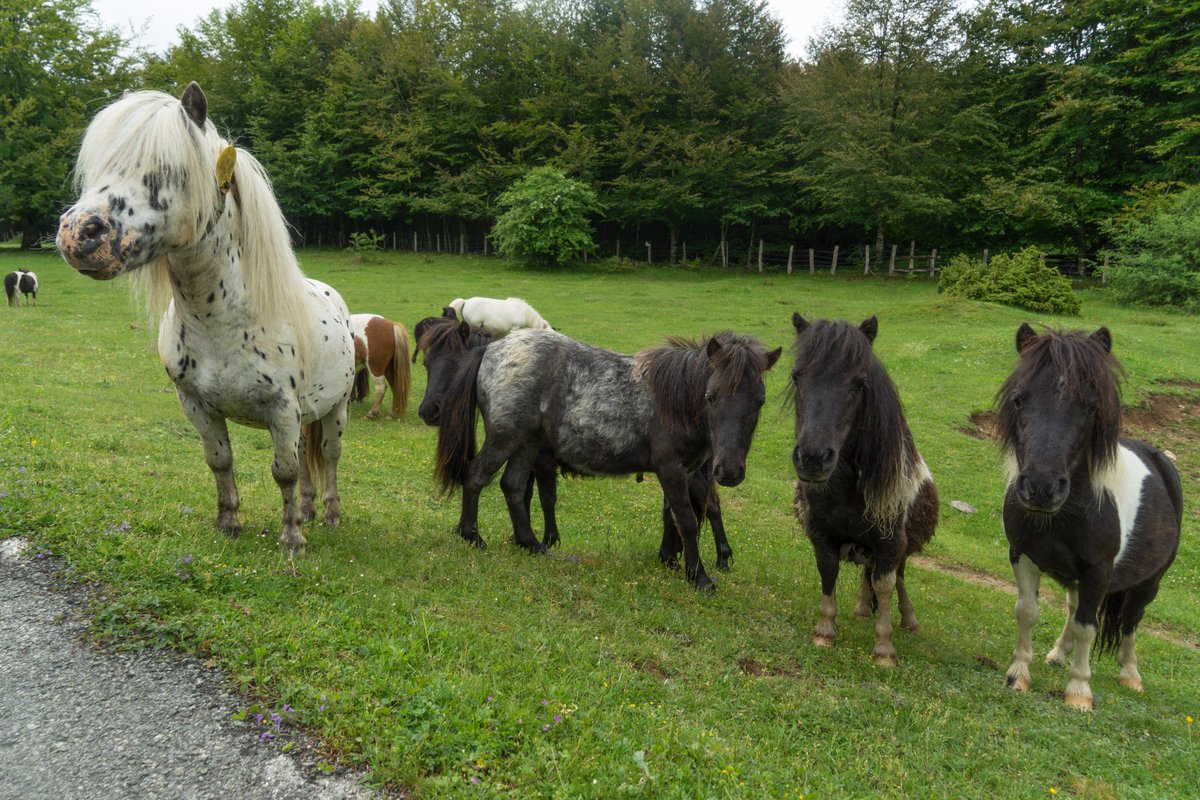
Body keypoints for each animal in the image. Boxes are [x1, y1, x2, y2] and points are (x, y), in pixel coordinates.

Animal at [56, 83, 356, 552]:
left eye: (168, 170)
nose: (79, 233)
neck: (221, 324)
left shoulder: (282, 410)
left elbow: (284, 471)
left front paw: (292, 538)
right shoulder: (196, 404)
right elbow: (220, 461)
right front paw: (228, 523)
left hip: (336, 409)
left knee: (327, 456)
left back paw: (328, 515)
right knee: (309, 463)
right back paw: (308, 510)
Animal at [433, 327, 780, 591]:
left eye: (760, 401)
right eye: (711, 396)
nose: (730, 471)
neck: (674, 401)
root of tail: (492, 348)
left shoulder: (688, 471)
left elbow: (672, 516)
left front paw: (670, 559)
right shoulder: (671, 469)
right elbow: (687, 520)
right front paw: (699, 577)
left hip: (527, 442)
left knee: (513, 486)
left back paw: (531, 543)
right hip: (505, 438)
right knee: (476, 476)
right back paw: (471, 535)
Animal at [789, 314, 938, 666]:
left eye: (859, 384)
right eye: (796, 377)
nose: (813, 458)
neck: (847, 492)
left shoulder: (890, 541)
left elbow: (885, 586)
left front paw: (884, 649)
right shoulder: (821, 533)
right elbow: (828, 573)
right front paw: (824, 631)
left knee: (899, 579)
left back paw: (909, 619)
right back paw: (860, 607)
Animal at [997, 323, 1182, 710]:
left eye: (1091, 406)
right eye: (1019, 400)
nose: (1041, 487)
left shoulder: (1098, 571)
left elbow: (1088, 626)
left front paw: (1079, 691)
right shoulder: (1022, 555)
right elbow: (1028, 611)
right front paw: (1019, 674)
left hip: (1149, 582)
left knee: (1130, 621)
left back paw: (1131, 675)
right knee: (1073, 607)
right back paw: (1057, 654)